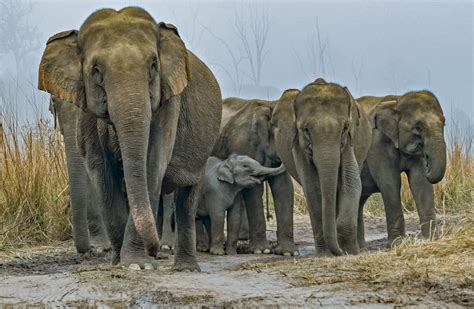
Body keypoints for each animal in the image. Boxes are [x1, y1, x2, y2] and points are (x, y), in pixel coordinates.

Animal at [212, 97, 296, 254]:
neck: (269, 105)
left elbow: (284, 187)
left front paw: (288, 252)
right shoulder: (244, 144)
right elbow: (253, 188)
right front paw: (262, 251)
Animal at [272, 79, 372, 255]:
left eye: (345, 128)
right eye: (306, 130)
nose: (339, 252)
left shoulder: (348, 142)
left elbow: (350, 181)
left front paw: (349, 252)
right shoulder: (299, 146)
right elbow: (312, 186)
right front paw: (326, 254)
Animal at [358, 90, 446, 247]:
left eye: (444, 123)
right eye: (418, 127)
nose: (428, 164)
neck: (397, 101)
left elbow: (419, 182)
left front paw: (431, 239)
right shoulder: (376, 144)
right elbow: (390, 182)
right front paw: (396, 244)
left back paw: (359, 248)